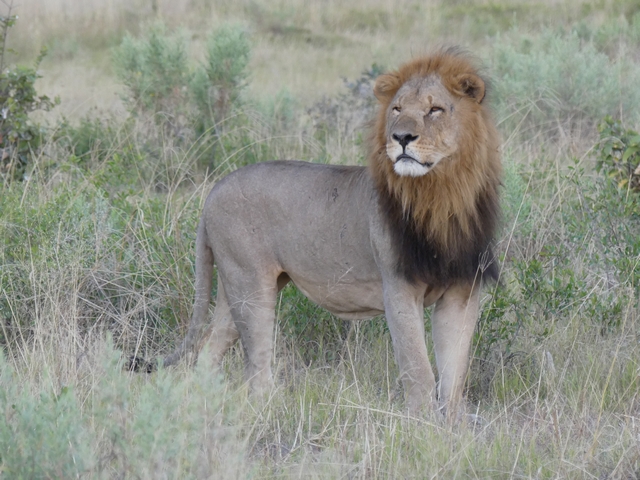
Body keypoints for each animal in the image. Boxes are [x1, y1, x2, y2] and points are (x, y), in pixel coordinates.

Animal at [162, 49, 501, 416]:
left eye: (435, 109)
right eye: (397, 110)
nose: (401, 138)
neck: (442, 194)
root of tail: (214, 190)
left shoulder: (462, 292)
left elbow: (454, 376)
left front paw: (451, 425)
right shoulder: (398, 287)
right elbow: (419, 370)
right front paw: (420, 422)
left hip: (233, 287)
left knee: (210, 349)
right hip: (250, 286)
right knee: (257, 370)